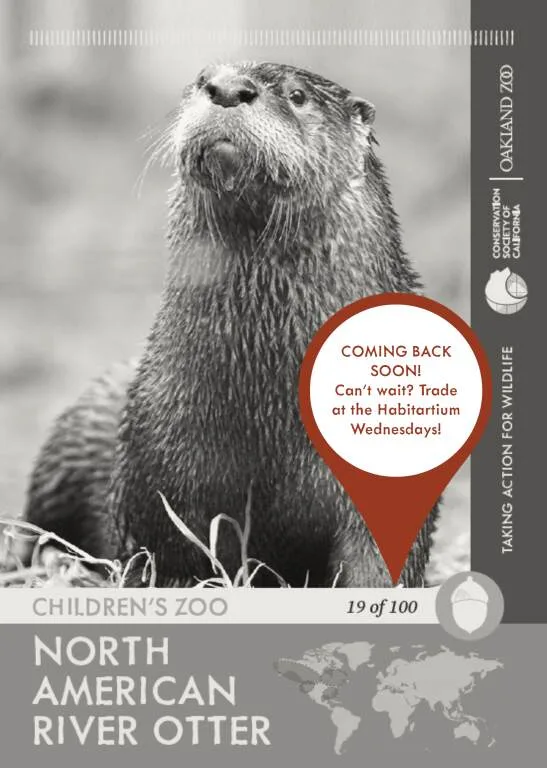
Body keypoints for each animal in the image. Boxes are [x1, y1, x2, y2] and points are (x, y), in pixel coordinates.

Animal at [23, 62, 438, 587]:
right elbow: (159, 555)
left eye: (297, 95)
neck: (266, 404)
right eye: (203, 77)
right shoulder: (155, 468)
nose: (226, 88)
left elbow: (383, 564)